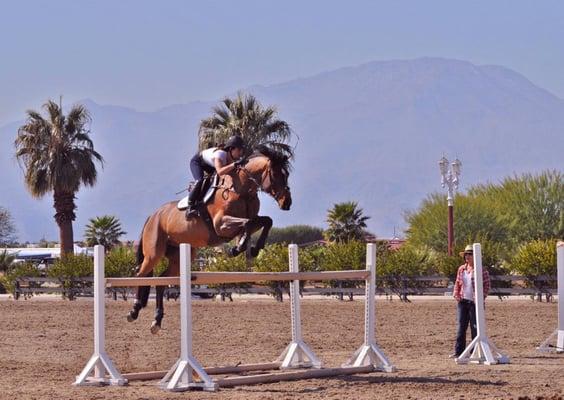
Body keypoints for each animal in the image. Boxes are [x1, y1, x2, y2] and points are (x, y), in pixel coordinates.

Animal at [126, 145, 294, 332]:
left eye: (286, 174)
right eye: (275, 174)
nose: (287, 203)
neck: (241, 190)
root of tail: (153, 215)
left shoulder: (250, 220)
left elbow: (265, 221)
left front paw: (254, 248)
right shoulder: (220, 224)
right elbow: (248, 223)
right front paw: (238, 247)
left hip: (179, 255)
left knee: (161, 281)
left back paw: (157, 320)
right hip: (154, 253)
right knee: (141, 274)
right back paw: (134, 310)